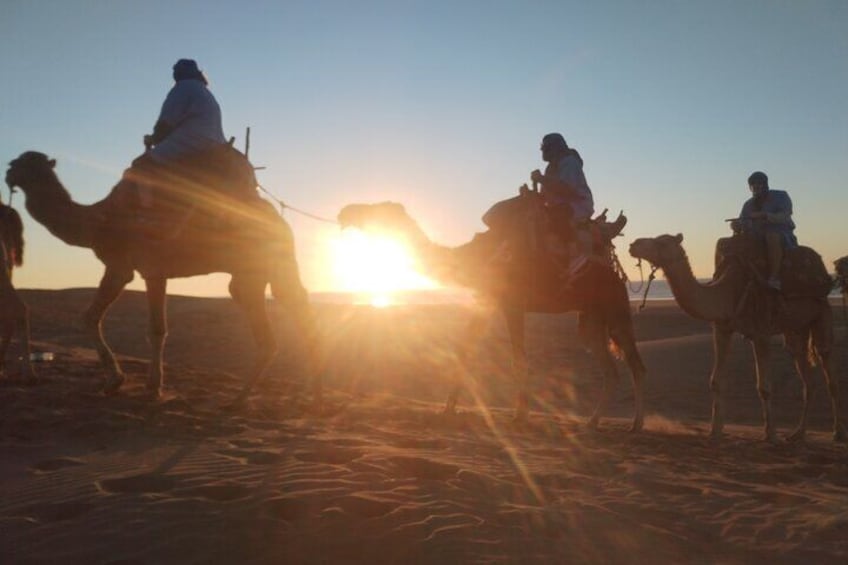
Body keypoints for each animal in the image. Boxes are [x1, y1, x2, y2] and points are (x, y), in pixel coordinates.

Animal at [4, 150, 322, 400]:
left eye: (20, 162)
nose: (7, 174)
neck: (97, 221)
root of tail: (277, 219)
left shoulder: (130, 267)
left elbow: (125, 323)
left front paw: (137, 384)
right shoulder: (145, 270)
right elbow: (109, 319)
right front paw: (127, 381)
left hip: (256, 265)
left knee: (278, 320)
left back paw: (242, 397)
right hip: (269, 268)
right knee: (292, 305)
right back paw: (306, 389)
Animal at [334, 196, 644, 430]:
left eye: (377, 208)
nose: (344, 211)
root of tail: (617, 275)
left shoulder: (512, 303)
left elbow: (518, 360)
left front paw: (520, 416)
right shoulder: (485, 302)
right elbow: (463, 351)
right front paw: (448, 409)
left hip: (615, 309)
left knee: (635, 362)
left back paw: (636, 424)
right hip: (590, 318)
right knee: (609, 368)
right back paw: (592, 421)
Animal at [628, 232, 840, 440]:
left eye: (662, 243)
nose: (633, 244)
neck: (727, 293)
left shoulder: (761, 333)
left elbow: (764, 387)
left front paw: (770, 433)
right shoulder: (722, 329)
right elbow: (715, 381)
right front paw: (715, 430)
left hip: (822, 312)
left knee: (827, 366)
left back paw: (837, 432)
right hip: (796, 327)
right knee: (804, 369)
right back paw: (798, 433)